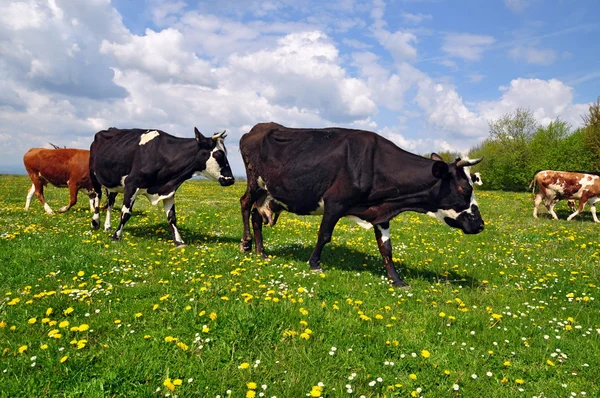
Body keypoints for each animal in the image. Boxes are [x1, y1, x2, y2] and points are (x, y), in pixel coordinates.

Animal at [89, 127, 234, 246]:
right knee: (97, 197)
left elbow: (172, 217)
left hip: (114, 183)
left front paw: (179, 241)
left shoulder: (168, 189)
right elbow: (125, 213)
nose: (231, 179)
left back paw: (107, 226)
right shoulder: (131, 184)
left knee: (110, 202)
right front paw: (116, 236)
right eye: (218, 154)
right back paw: (95, 222)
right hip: (94, 175)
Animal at [238, 123, 482, 288]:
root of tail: (257, 128)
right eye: (465, 189)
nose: (480, 225)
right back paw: (246, 243)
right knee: (244, 204)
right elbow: (324, 234)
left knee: (257, 215)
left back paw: (261, 252)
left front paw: (397, 280)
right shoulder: (335, 201)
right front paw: (315, 264)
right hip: (255, 182)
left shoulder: (381, 214)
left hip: (268, 194)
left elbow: (386, 248)